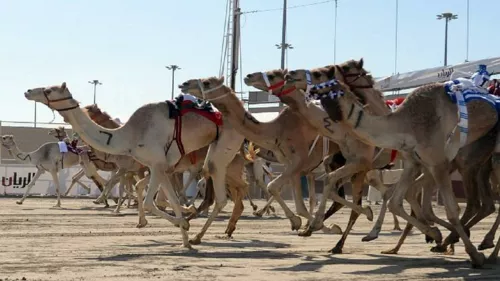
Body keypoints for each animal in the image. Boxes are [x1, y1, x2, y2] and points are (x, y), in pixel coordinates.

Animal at [25, 82, 246, 246]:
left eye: (49, 90)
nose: (28, 91)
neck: (128, 136)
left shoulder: (156, 164)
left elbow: (151, 201)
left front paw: (183, 224)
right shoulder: (161, 166)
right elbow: (168, 199)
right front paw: (183, 235)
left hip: (225, 146)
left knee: (221, 194)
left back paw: (203, 234)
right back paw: (206, 231)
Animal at [178, 75, 346, 234]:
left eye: (207, 83)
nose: (184, 84)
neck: (276, 129)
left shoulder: (300, 163)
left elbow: (276, 188)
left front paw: (319, 226)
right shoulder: (297, 167)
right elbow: (297, 202)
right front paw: (302, 223)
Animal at [310, 70, 498, 266]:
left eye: (325, 82)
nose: (311, 92)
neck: (406, 123)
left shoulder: (436, 162)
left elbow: (452, 211)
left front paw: (474, 255)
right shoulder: (413, 163)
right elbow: (395, 201)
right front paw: (435, 234)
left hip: (470, 161)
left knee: (476, 203)